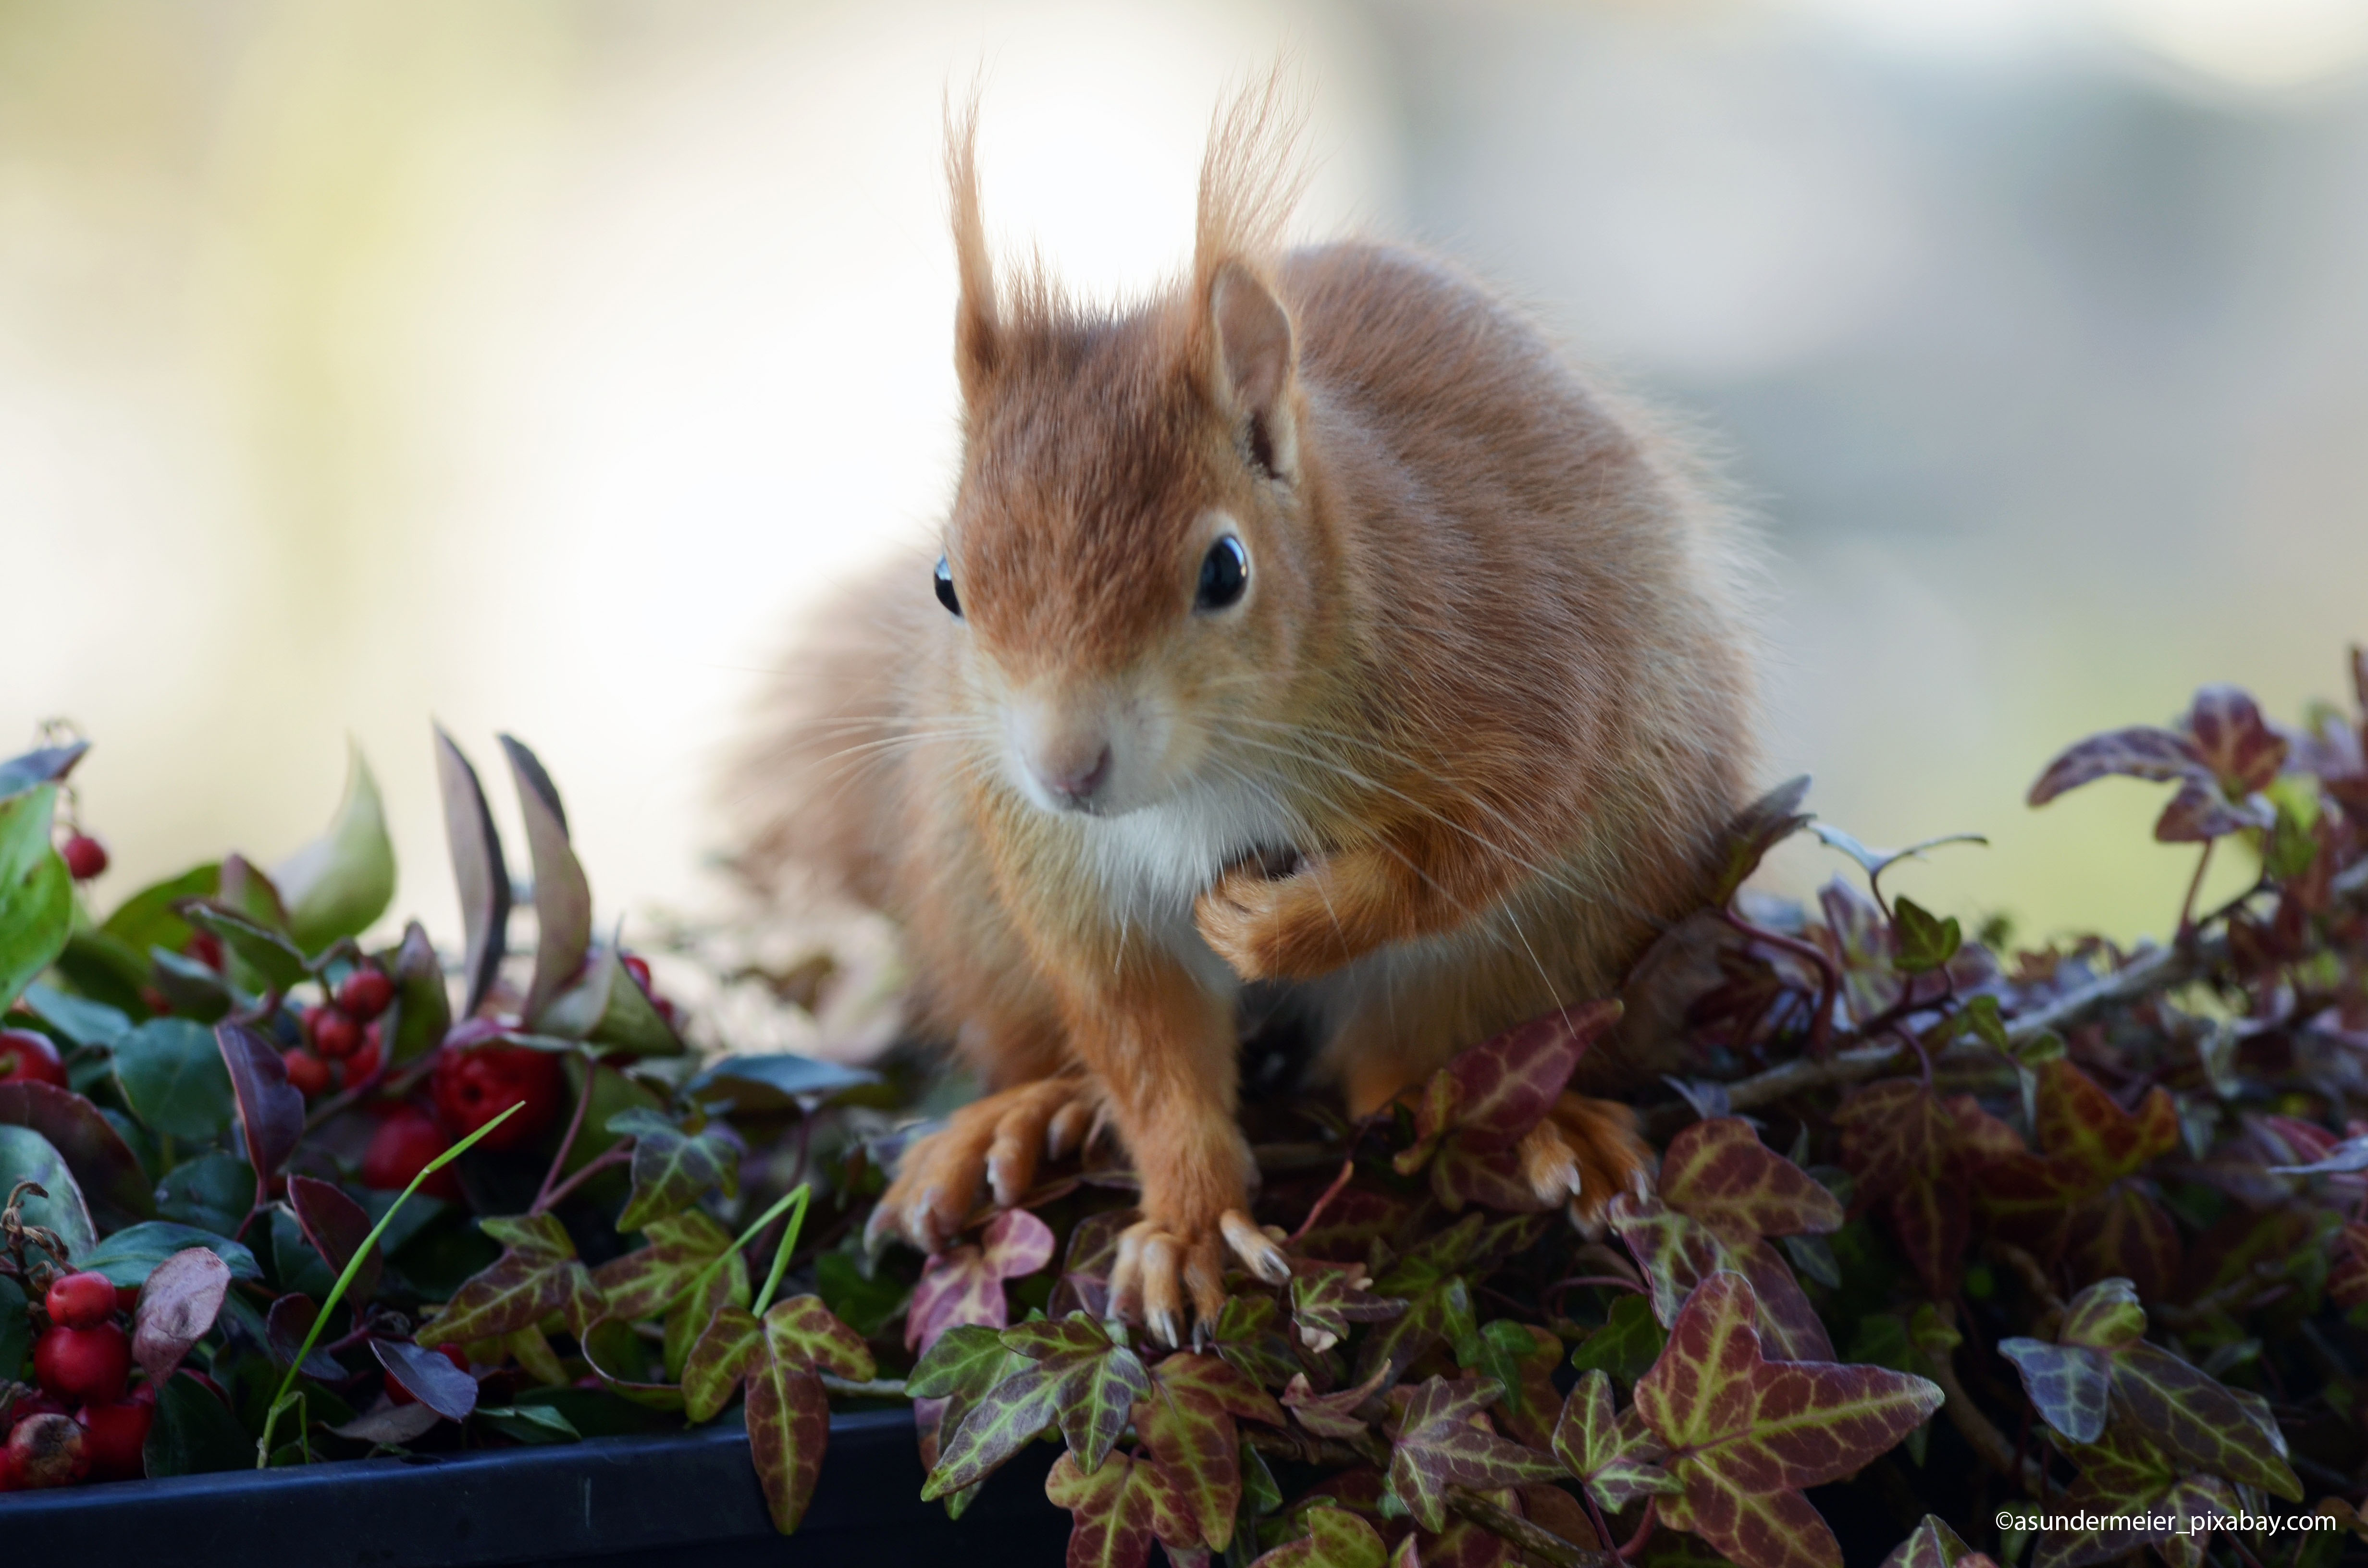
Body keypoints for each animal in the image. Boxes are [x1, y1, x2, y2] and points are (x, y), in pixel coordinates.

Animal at [726, 84, 1762, 1346]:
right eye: (945, 584)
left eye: (1225, 570)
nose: (1066, 769)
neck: (1203, 782)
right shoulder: (1074, 881)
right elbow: (1145, 1043)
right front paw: (1185, 1222)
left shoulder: (1521, 679)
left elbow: (1465, 851)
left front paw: (1275, 928)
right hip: (971, 893)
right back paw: (1014, 1119)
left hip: (1586, 914)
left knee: (1425, 1071)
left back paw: (1535, 1127)